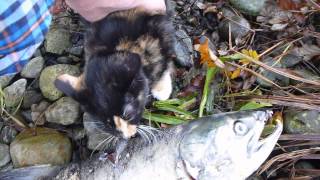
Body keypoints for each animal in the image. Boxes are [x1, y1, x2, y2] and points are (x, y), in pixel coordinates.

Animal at [53, 6, 176, 139]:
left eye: (128, 114)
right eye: (106, 122)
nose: (128, 136)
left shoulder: (161, 31)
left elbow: (166, 61)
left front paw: (162, 89)